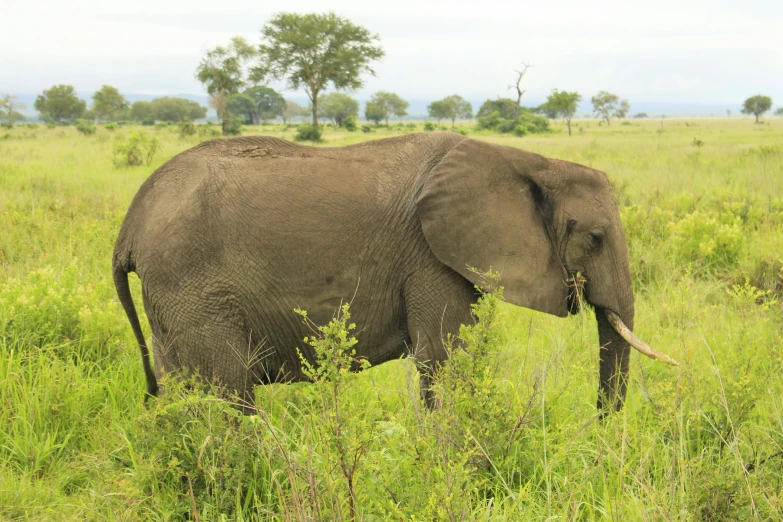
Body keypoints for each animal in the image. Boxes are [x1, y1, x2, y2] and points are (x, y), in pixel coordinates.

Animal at [113, 132, 676, 412]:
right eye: (595, 238)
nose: (599, 423)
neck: (527, 160)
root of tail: (129, 226)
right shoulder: (428, 256)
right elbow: (445, 362)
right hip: (192, 285)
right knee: (228, 392)